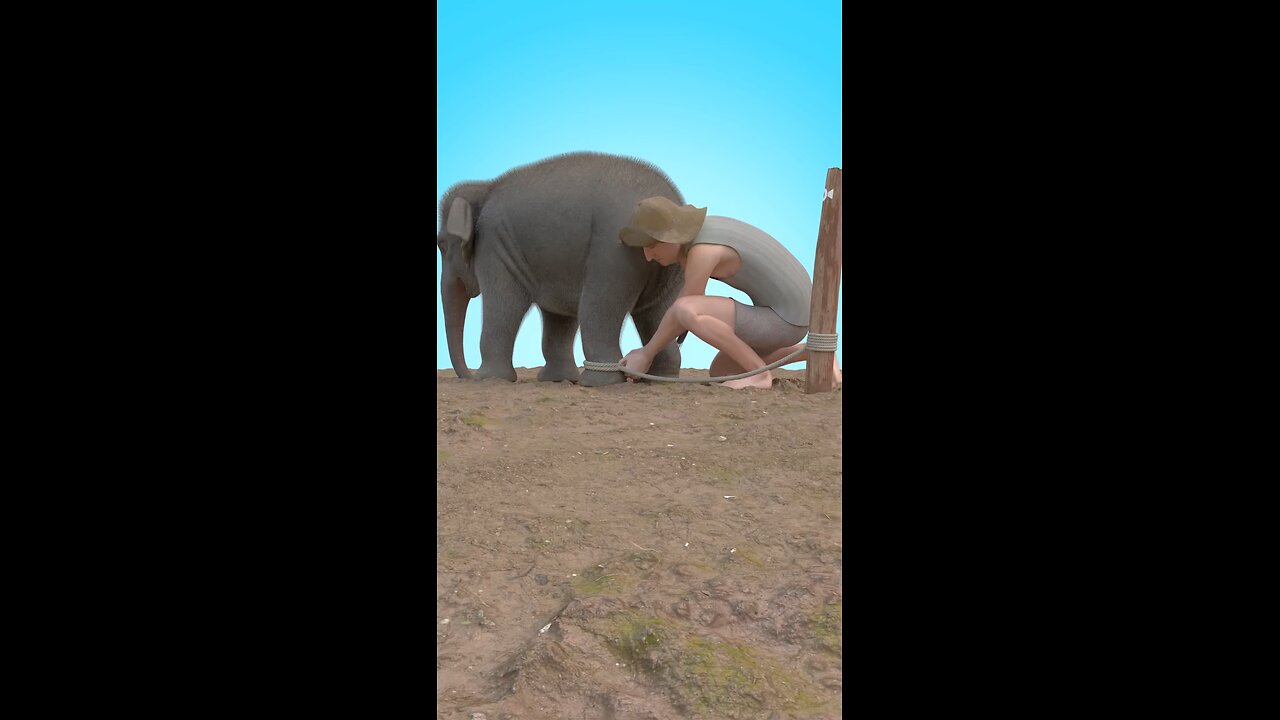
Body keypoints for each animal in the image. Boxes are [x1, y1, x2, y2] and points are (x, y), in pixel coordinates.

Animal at [437, 151, 686, 386]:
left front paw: (489, 379)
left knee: (598, 307)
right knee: (657, 312)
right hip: (668, 265)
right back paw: (659, 379)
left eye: (441, 244)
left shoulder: (496, 246)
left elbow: (505, 305)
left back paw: (598, 382)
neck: (484, 188)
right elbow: (559, 316)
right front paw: (556, 379)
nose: (467, 376)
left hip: (615, 252)